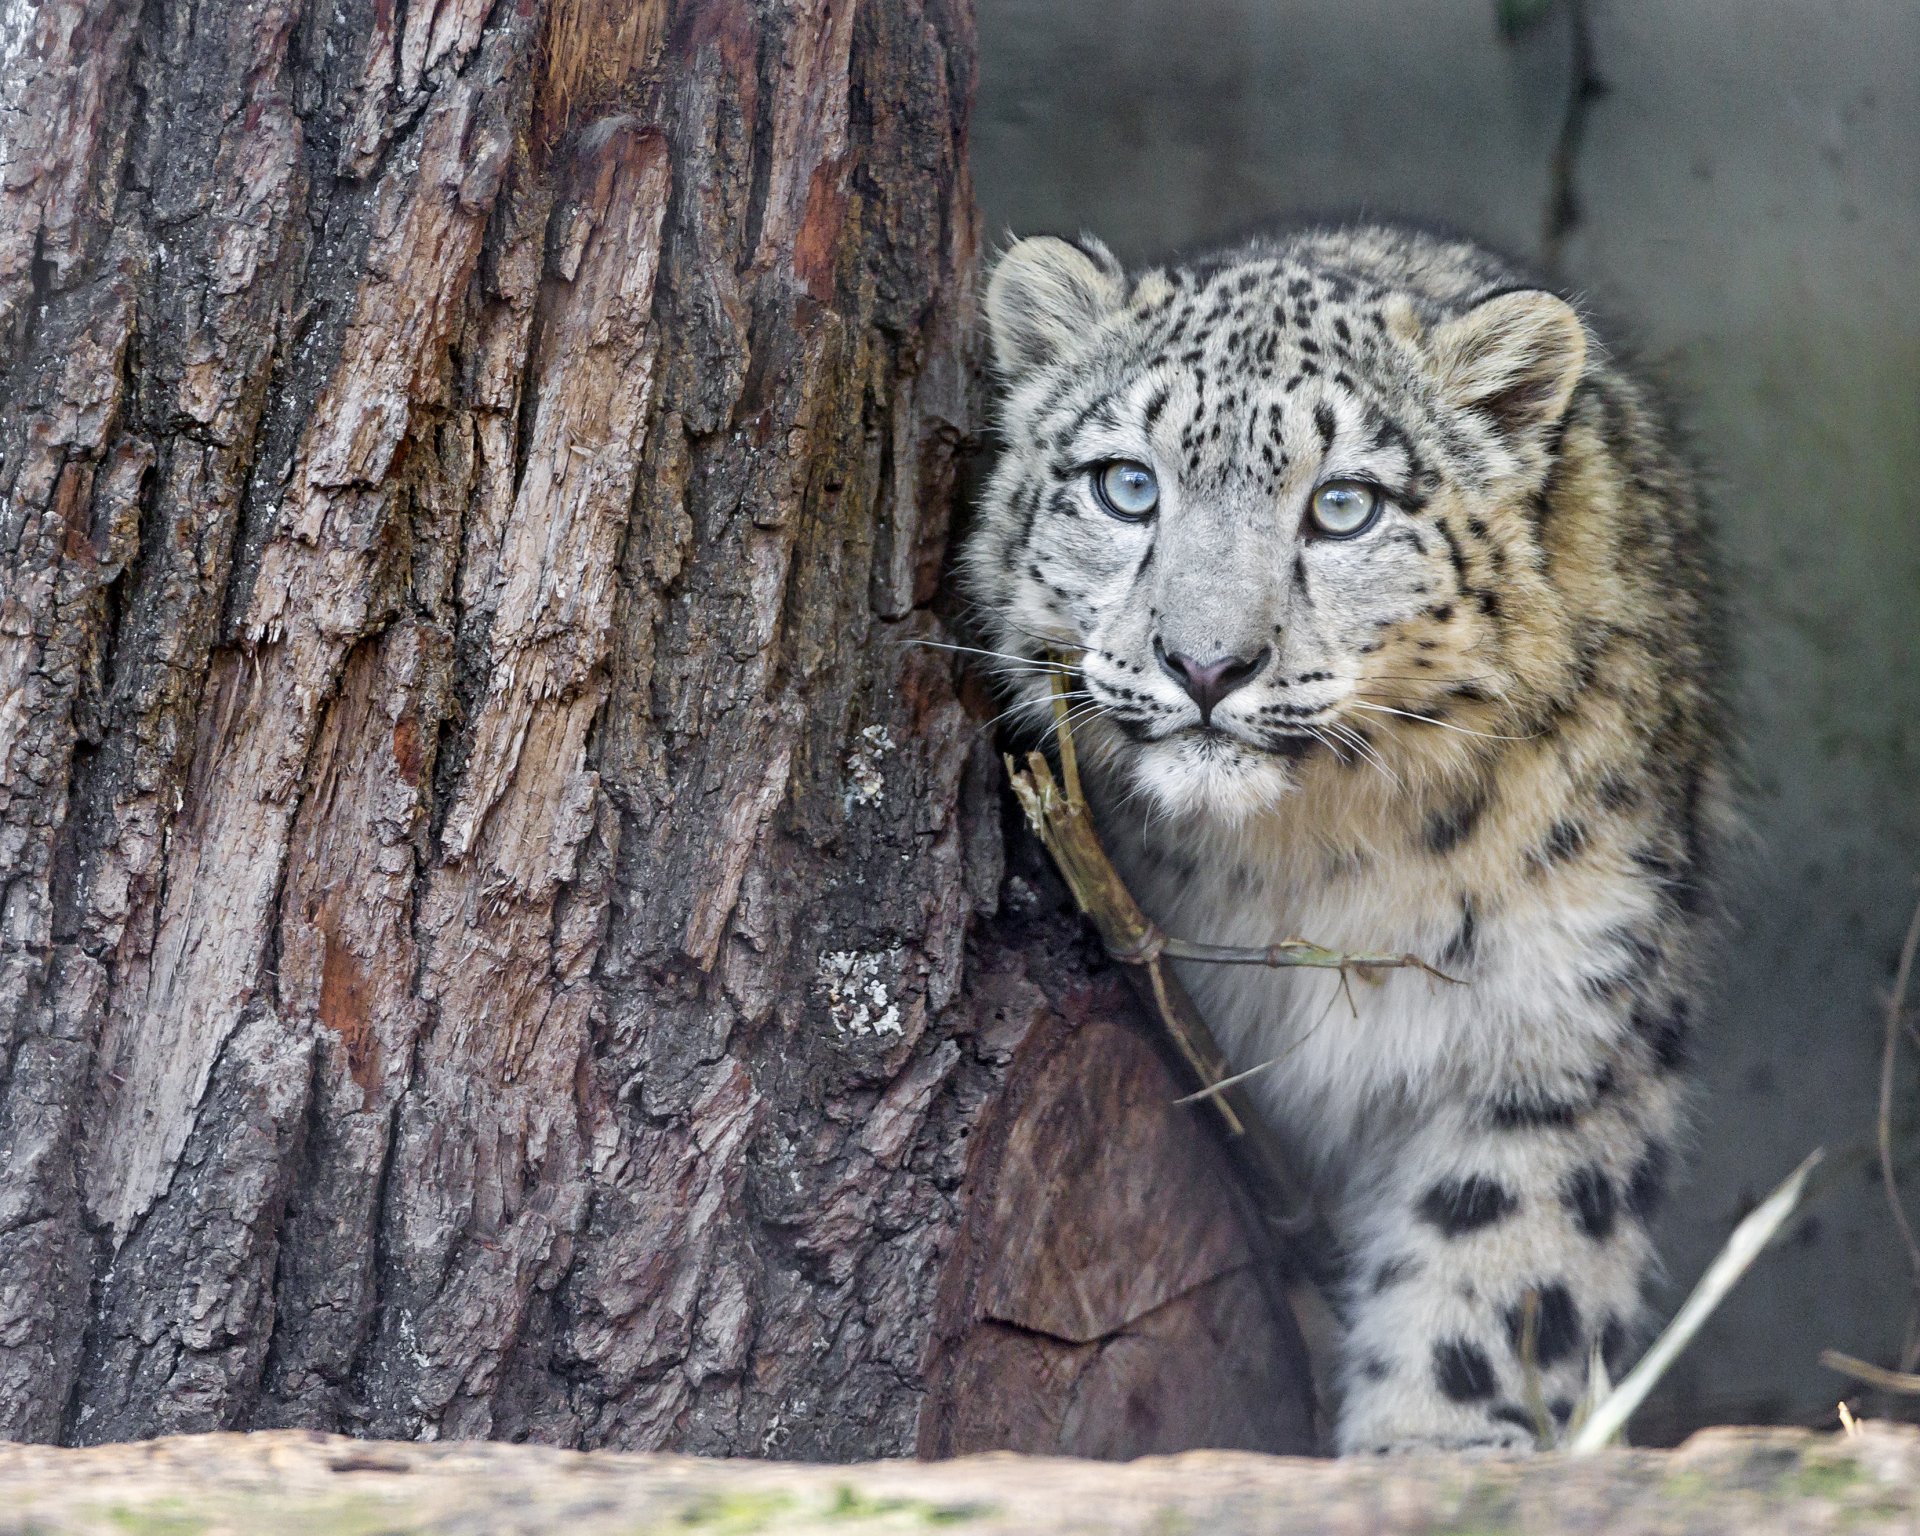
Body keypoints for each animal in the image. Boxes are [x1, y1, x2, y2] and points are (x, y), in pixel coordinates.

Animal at [959, 223, 1731, 1453]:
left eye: (1343, 506)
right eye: (1128, 486)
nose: (1206, 663)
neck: (1311, 865)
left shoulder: (1560, 1015)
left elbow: (1503, 1250)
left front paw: (1438, 1449)